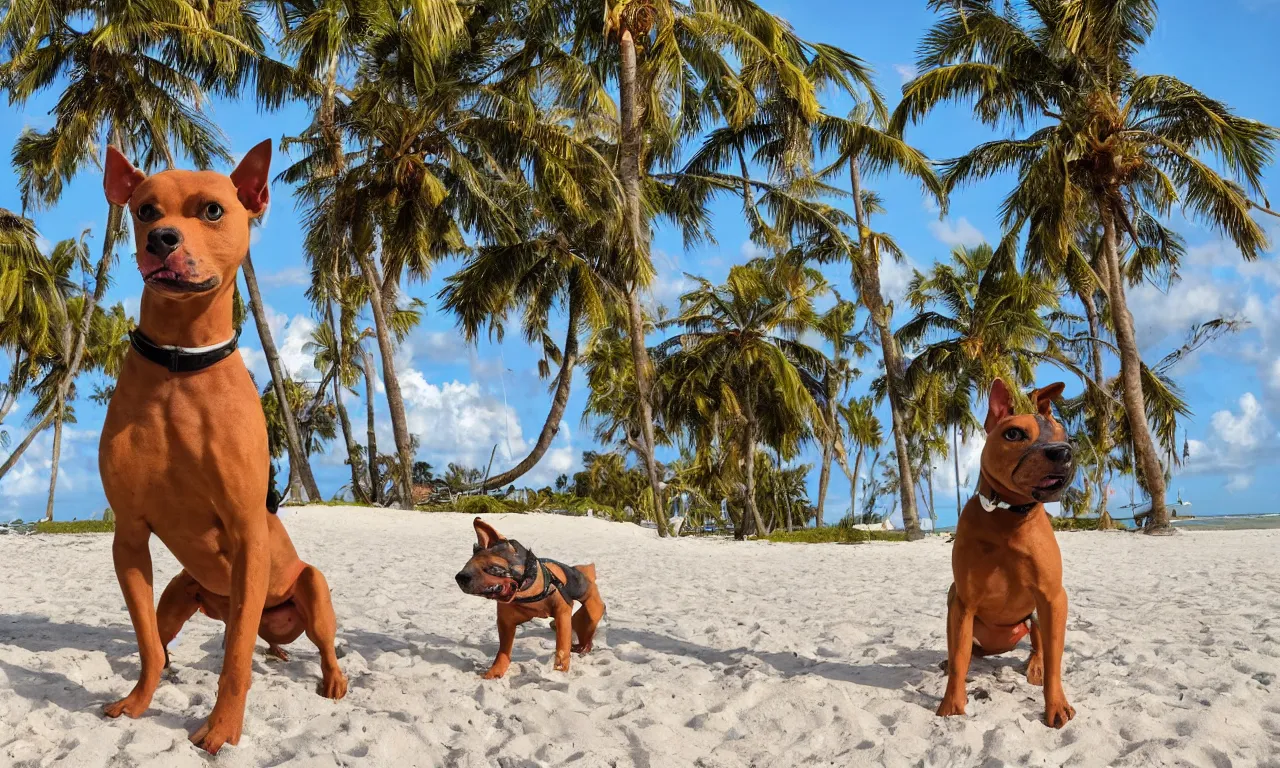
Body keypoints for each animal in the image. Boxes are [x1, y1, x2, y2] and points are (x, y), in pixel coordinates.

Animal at [99, 140, 348, 752]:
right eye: (145, 210)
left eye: (212, 211)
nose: (162, 238)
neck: (179, 365)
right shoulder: (129, 535)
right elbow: (146, 643)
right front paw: (138, 703)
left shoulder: (246, 530)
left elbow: (235, 660)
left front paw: (223, 728)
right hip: (182, 593)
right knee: (172, 636)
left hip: (310, 588)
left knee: (317, 643)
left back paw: (333, 679)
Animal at [455, 517, 604, 675]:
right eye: (466, 564)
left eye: (492, 567)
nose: (460, 577)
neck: (528, 591)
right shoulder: (505, 623)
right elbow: (503, 652)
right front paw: (494, 673)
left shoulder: (563, 613)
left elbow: (562, 646)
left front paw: (559, 671)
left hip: (591, 612)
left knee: (587, 633)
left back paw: (583, 648)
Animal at [942, 381, 1080, 727]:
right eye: (1014, 434)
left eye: (1066, 436)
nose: (1063, 452)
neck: (1008, 516)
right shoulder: (963, 602)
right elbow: (959, 659)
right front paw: (950, 705)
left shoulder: (1053, 598)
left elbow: (1055, 659)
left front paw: (1055, 705)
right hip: (953, 601)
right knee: (963, 651)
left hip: (1038, 615)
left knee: (1039, 647)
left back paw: (1035, 666)